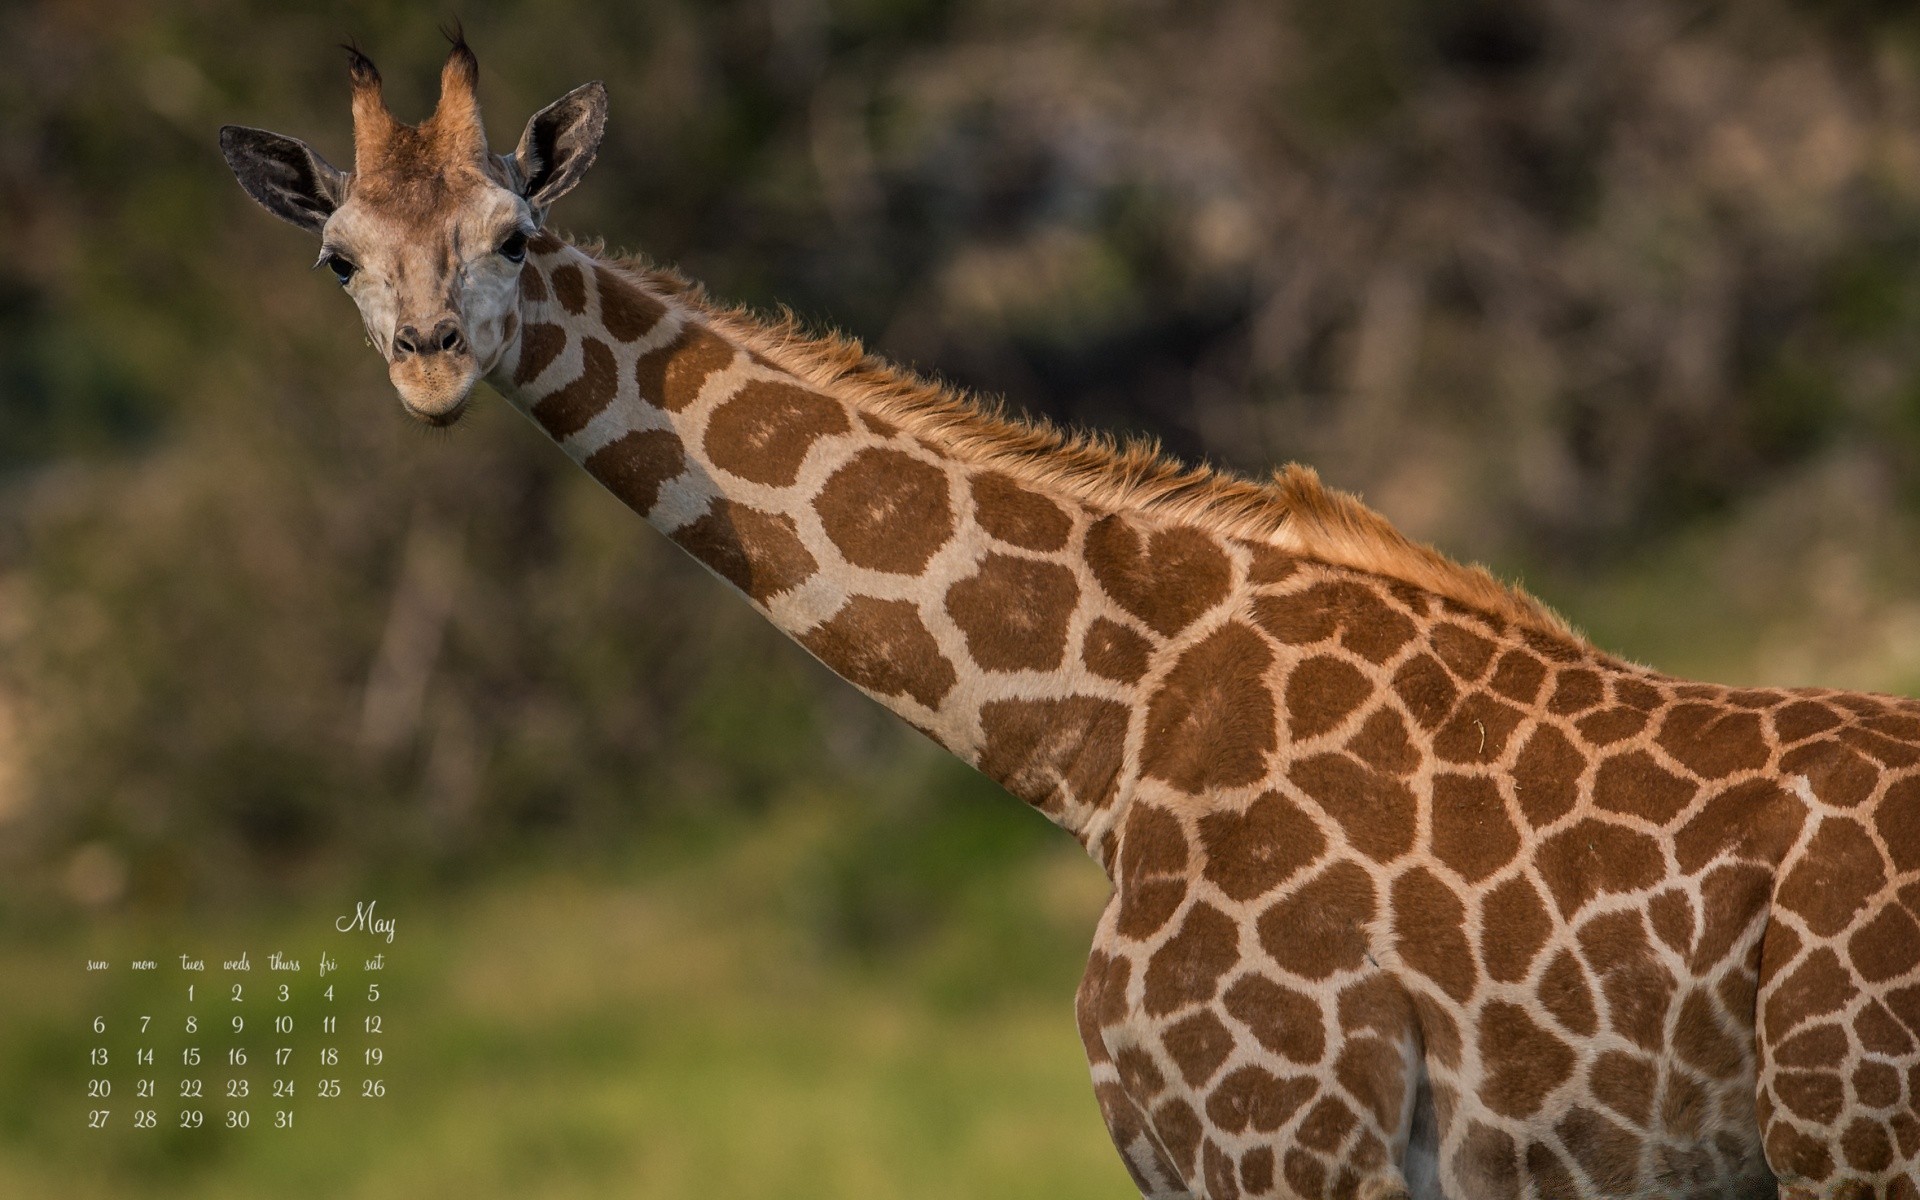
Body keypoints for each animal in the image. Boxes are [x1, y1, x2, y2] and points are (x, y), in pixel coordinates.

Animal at [217, 37, 1920, 1198]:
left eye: (514, 234)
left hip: (1851, 1139)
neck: (1102, 732)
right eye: (337, 256)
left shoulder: (1290, 1146)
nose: (432, 364)